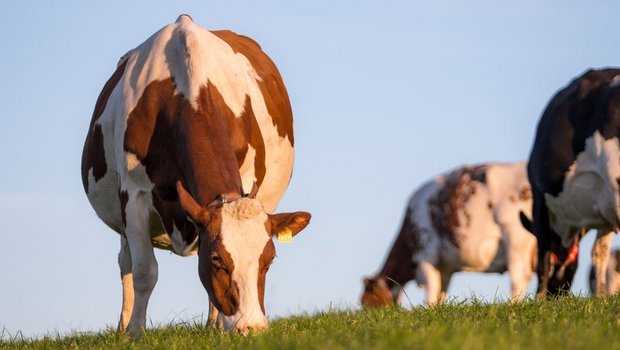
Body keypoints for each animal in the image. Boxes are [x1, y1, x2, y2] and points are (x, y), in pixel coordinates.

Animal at [80, 15, 312, 334]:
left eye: (269, 260)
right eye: (217, 260)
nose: (251, 328)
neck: (188, 91)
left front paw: (218, 328)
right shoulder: (133, 193)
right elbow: (144, 271)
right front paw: (135, 334)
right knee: (125, 262)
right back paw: (123, 328)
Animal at [360, 162, 536, 306]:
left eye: (369, 303)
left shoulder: (426, 255)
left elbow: (431, 292)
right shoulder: (444, 268)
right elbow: (441, 294)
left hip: (516, 239)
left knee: (519, 277)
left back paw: (512, 305)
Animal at [524, 69, 620, 298]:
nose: (556, 293)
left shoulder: (539, 196)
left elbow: (543, 254)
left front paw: (539, 298)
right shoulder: (606, 206)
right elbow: (600, 253)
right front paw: (602, 297)